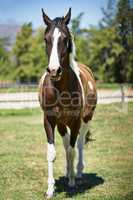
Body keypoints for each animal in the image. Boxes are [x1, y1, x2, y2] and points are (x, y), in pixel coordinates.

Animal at [38, 7, 96, 198]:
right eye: (46, 39)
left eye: (65, 39)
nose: (54, 70)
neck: (60, 88)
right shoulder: (49, 121)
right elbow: (52, 152)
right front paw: (50, 189)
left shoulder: (76, 121)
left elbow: (72, 150)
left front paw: (71, 182)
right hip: (62, 124)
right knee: (65, 144)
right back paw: (67, 171)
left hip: (86, 119)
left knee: (78, 144)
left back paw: (77, 173)